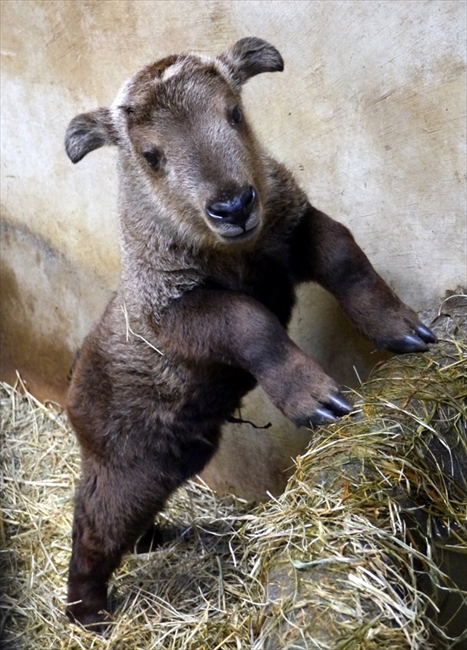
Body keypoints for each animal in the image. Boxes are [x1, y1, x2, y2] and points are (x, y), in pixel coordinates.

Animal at [64, 36, 436, 628]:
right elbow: (250, 324)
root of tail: (74, 391)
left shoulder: (291, 230)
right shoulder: (177, 312)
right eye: (150, 155)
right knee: (95, 527)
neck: (234, 253)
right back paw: (89, 611)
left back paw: (155, 539)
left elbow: (346, 256)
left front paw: (403, 328)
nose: (233, 206)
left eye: (234, 113)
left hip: (173, 454)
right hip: (130, 462)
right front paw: (317, 400)